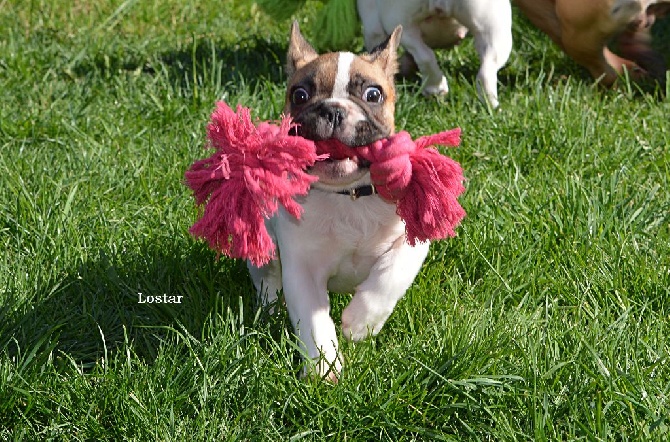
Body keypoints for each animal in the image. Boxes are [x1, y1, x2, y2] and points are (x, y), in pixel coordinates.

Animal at [247, 21, 430, 380]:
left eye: (373, 94)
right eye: (300, 95)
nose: (332, 110)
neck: (348, 196)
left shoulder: (414, 238)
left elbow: (392, 274)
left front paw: (361, 323)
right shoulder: (302, 267)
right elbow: (314, 321)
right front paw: (323, 367)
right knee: (263, 269)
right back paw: (270, 300)